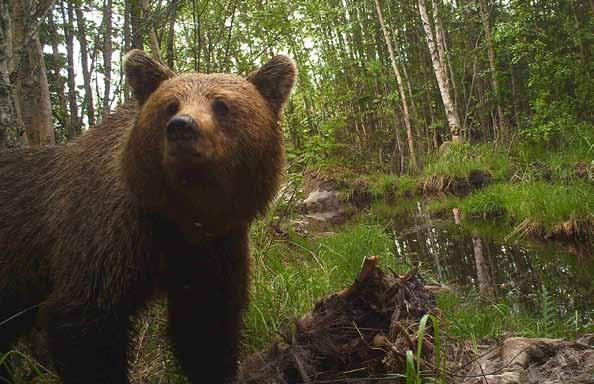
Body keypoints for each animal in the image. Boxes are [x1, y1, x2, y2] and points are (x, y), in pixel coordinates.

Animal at [0, 49, 296, 382]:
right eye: (170, 105)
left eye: (221, 104)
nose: (182, 127)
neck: (183, 215)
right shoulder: (105, 239)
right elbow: (87, 328)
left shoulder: (214, 247)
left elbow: (206, 321)